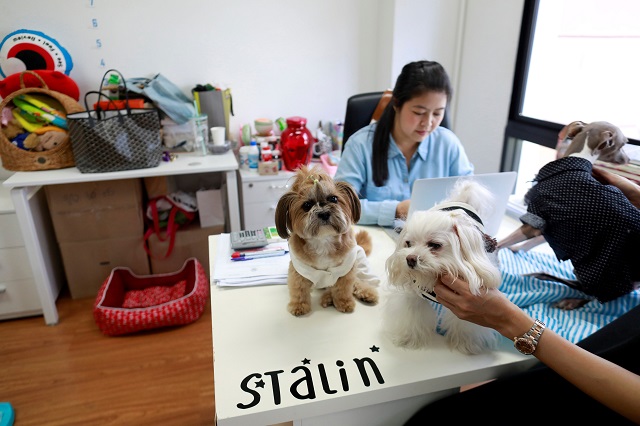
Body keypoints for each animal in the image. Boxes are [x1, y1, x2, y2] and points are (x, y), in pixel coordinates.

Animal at [276, 166, 380, 316]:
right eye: (307, 205)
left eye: (333, 198)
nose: (324, 213)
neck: (323, 241)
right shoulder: (299, 270)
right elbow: (299, 289)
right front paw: (299, 305)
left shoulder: (345, 270)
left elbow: (343, 288)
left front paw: (344, 302)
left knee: (358, 280)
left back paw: (366, 293)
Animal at [382, 178, 502, 354]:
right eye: (408, 243)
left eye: (435, 245)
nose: (410, 259)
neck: (432, 277)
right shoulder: (414, 296)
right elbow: (412, 314)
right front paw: (408, 338)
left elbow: (466, 324)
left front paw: (466, 343)